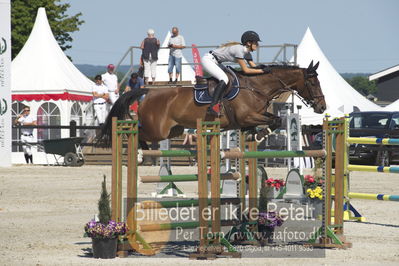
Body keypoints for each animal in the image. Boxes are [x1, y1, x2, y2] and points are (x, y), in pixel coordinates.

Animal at [99, 60, 324, 145]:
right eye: (313, 82)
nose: (323, 107)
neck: (255, 86)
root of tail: (148, 92)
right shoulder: (247, 116)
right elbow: (274, 121)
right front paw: (260, 135)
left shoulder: (257, 115)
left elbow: (275, 119)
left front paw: (255, 135)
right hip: (157, 130)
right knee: (137, 133)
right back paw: (137, 153)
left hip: (174, 130)